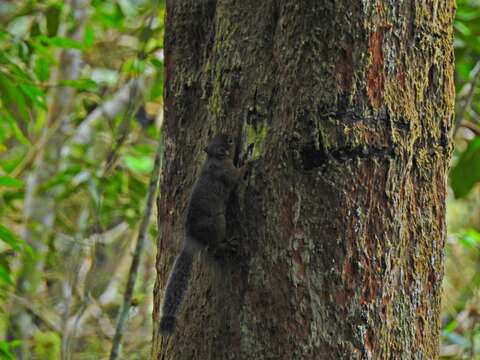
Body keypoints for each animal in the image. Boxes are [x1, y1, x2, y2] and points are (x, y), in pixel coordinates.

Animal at [160, 134, 249, 336]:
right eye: (229, 142)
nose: (234, 136)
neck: (214, 158)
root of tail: (192, 239)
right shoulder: (226, 173)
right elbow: (236, 177)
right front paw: (250, 163)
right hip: (219, 222)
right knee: (214, 246)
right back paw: (227, 244)